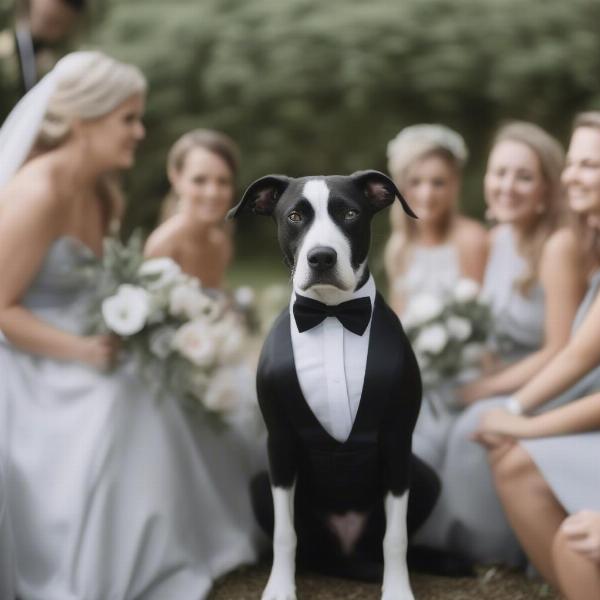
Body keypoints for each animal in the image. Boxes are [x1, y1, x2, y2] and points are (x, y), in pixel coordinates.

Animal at [230, 170, 432, 600]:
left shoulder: (397, 440)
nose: (321, 257)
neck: (332, 315)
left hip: (423, 475)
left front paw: (397, 590)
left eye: (350, 213)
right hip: (259, 484)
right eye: (294, 216)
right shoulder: (280, 441)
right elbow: (284, 533)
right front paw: (279, 588)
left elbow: (396, 537)